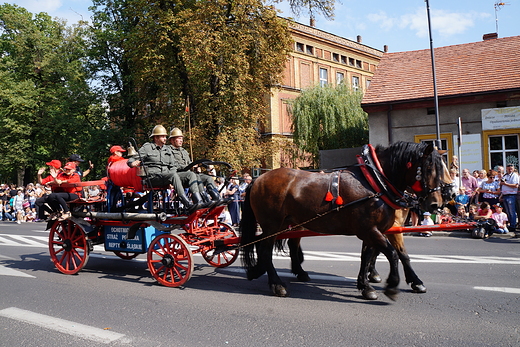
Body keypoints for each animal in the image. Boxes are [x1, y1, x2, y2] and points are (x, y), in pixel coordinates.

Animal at [242, 143, 444, 300]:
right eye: (428, 168)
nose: (436, 204)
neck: (375, 182)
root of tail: (258, 179)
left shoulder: (371, 231)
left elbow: (367, 257)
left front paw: (365, 286)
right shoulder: (371, 230)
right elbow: (393, 254)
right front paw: (392, 285)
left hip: (286, 225)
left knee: (278, 246)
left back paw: (265, 272)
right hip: (272, 225)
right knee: (265, 250)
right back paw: (277, 284)